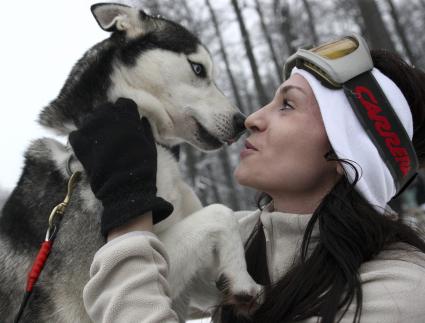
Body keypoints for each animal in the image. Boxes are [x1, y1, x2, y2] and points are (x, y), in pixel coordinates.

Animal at [0, 2, 262, 323]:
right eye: (198, 68)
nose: (242, 123)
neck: (151, 142)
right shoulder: (90, 287)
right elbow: (220, 213)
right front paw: (244, 281)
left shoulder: (193, 285)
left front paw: (239, 279)